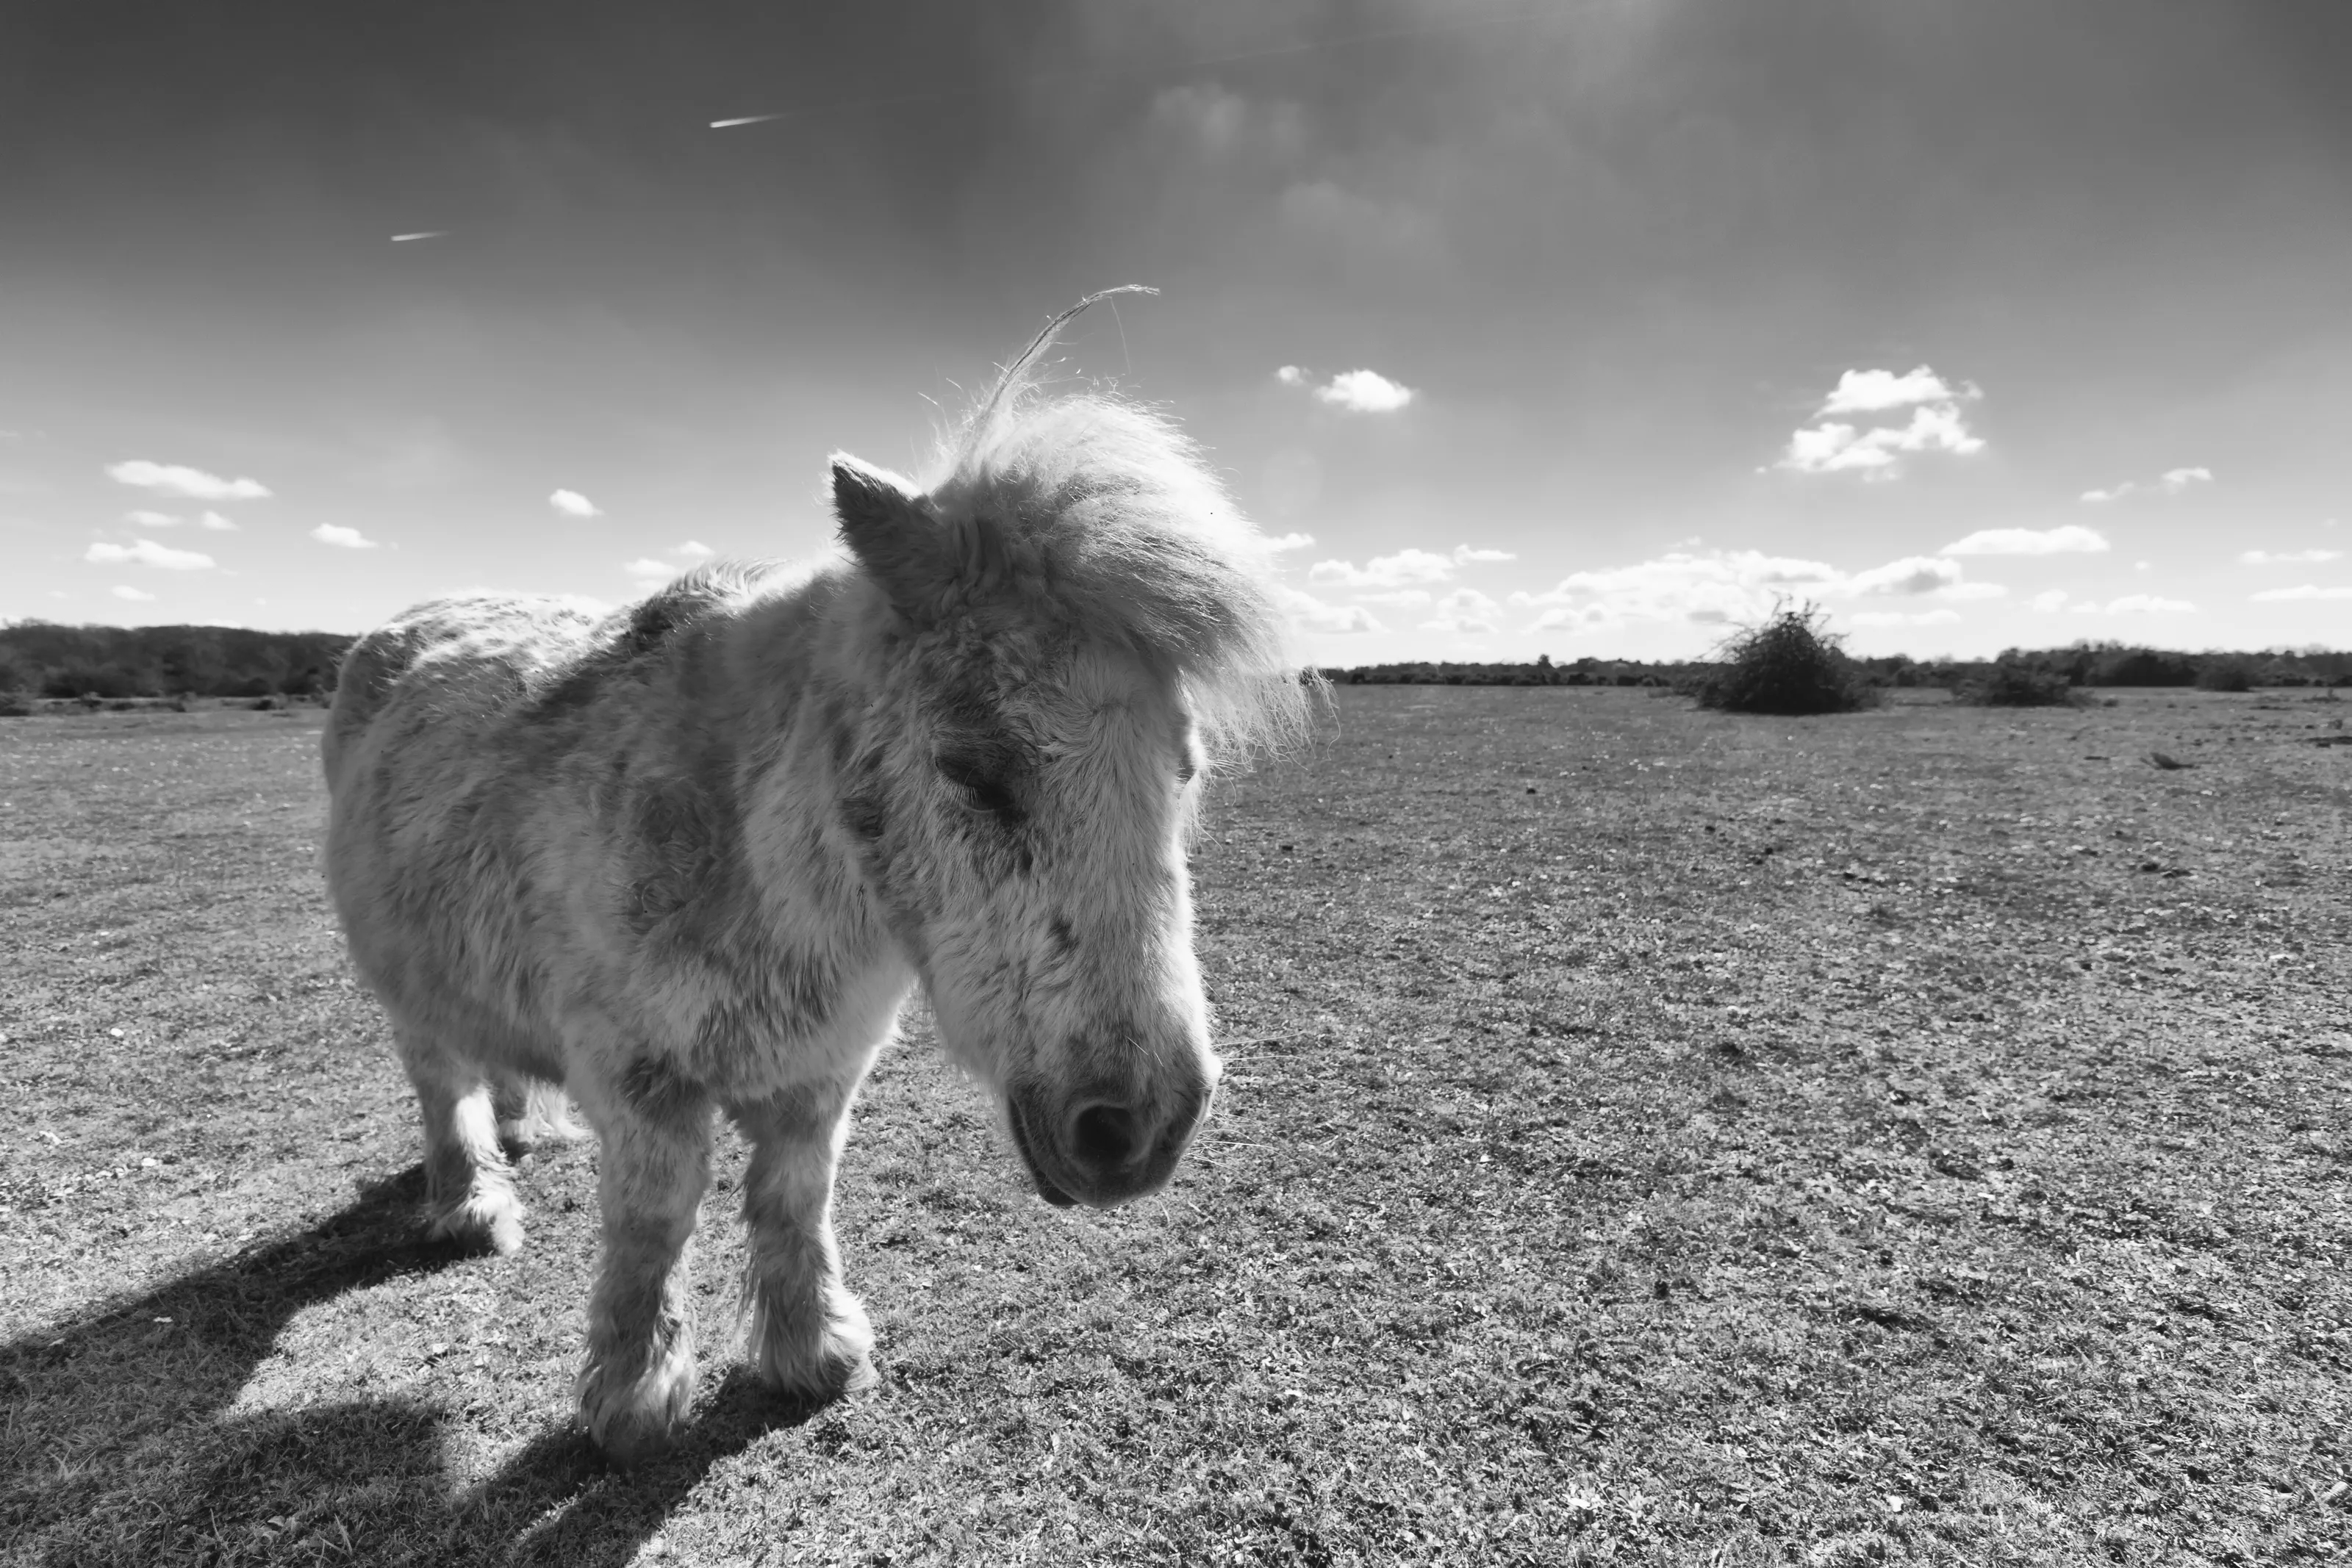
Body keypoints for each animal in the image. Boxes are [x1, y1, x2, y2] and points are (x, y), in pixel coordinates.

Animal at [320, 293, 1302, 1462]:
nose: (1140, 1126)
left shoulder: (821, 1072)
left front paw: (812, 1352)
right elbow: (655, 1216)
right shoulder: (641, 1081)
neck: (755, 864)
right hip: (403, 984)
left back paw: (528, 1128)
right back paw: (474, 1203)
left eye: (1183, 770)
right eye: (973, 767)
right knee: (440, 1078)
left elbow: (794, 1197)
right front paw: (634, 1396)